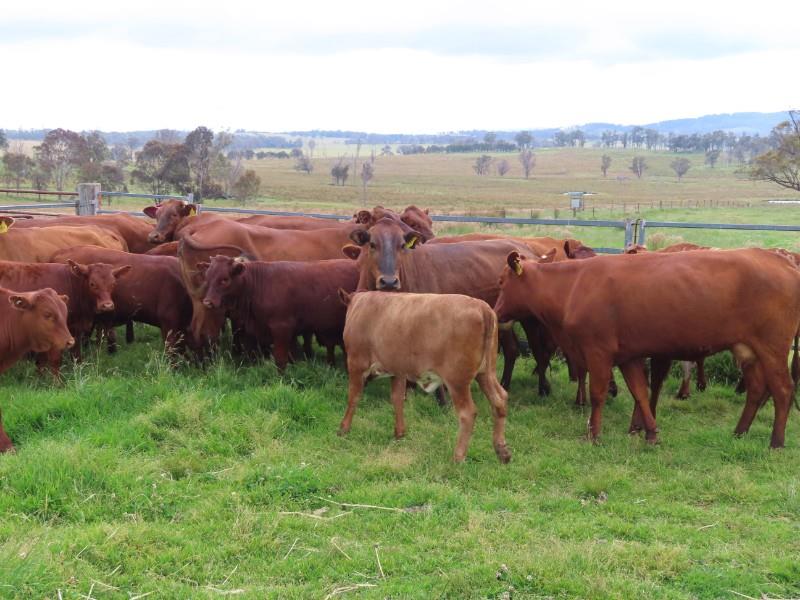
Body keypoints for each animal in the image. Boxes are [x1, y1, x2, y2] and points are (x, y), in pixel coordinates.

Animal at [0, 259, 129, 374]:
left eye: (113, 284)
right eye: (92, 284)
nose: (107, 305)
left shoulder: (75, 330)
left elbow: (75, 355)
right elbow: (55, 360)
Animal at [338, 290, 510, 463]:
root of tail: (482, 307)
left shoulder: (356, 363)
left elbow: (353, 397)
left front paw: (343, 429)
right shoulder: (398, 370)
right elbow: (397, 399)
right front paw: (399, 433)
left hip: (457, 381)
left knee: (468, 413)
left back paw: (458, 457)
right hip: (486, 373)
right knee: (499, 400)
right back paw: (502, 451)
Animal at [494, 248, 800, 447]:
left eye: (501, 282)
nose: (495, 312)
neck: (573, 286)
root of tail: (781, 260)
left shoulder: (597, 352)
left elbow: (598, 394)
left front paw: (593, 434)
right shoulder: (627, 356)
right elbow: (640, 392)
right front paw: (651, 434)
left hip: (773, 347)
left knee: (783, 390)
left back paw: (776, 441)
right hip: (747, 350)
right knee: (757, 389)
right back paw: (739, 432)